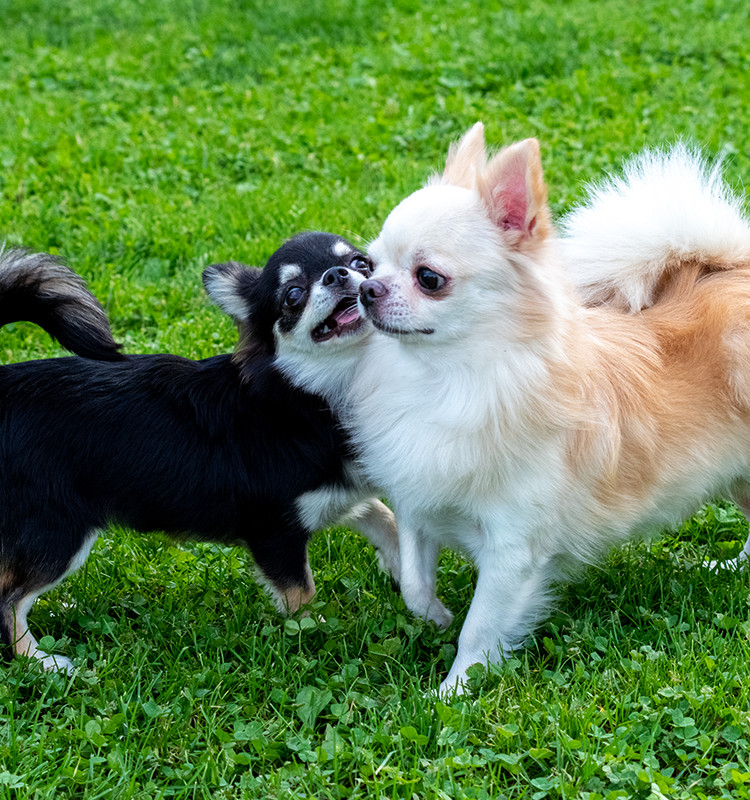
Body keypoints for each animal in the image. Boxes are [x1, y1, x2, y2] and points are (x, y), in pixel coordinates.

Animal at [348, 125, 750, 692]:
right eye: (366, 263)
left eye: (429, 278)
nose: (366, 288)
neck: (449, 378)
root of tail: (736, 268)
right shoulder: (418, 504)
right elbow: (412, 581)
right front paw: (434, 618)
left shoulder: (513, 549)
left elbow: (480, 628)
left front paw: (452, 692)